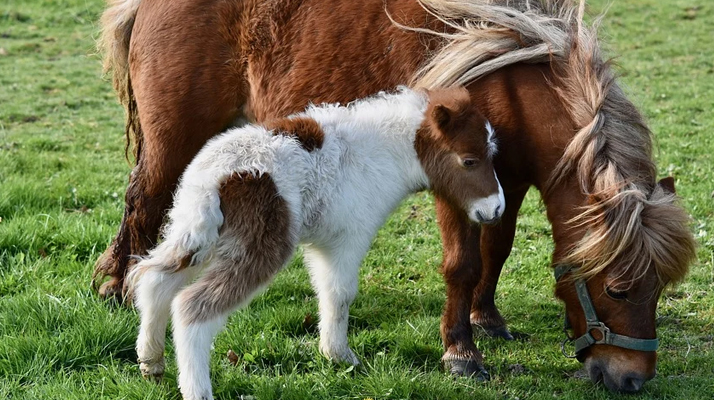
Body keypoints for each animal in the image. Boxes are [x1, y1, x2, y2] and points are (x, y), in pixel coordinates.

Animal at [127, 86, 504, 400]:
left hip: (197, 232)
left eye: (492, 154)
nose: (496, 208)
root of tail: (214, 178)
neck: (381, 152)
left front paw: (332, 355)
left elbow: (326, 293)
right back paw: (197, 390)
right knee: (191, 306)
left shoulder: (323, 246)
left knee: (155, 281)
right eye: (469, 160)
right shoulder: (348, 238)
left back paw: (151, 363)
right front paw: (341, 356)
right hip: (259, 244)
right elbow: (340, 294)